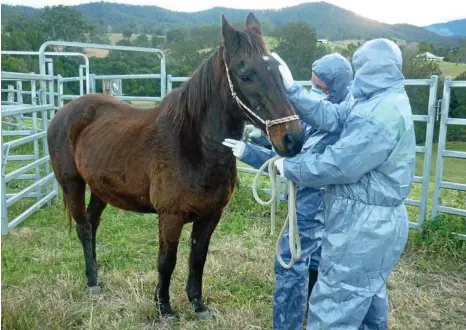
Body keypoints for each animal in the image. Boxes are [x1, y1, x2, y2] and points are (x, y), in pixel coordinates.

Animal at [46, 12, 302, 320]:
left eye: (277, 71)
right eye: (245, 75)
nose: (293, 138)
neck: (192, 145)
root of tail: (64, 111)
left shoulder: (211, 215)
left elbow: (198, 258)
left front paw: (198, 305)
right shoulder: (170, 216)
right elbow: (167, 260)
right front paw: (164, 308)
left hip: (100, 189)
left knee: (93, 225)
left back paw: (96, 275)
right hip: (72, 184)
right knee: (84, 228)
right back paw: (93, 282)